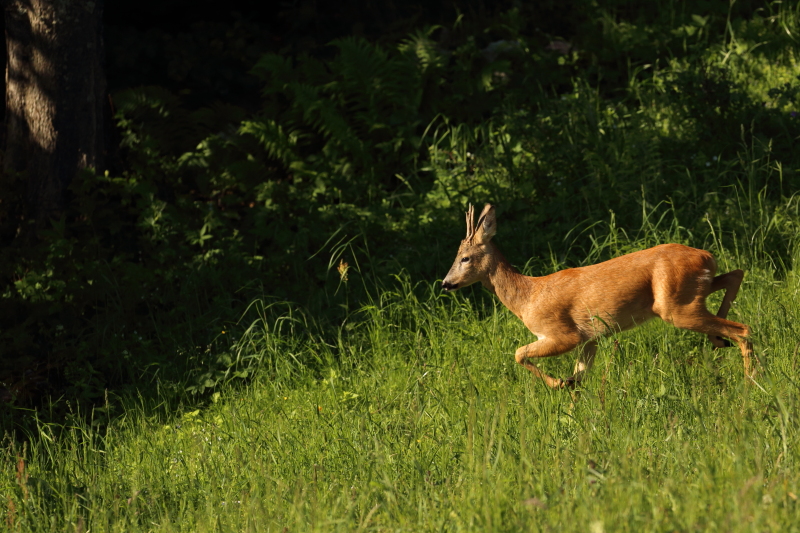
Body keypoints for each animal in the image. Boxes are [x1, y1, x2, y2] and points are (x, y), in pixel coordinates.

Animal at [440, 203, 752, 386]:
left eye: (465, 258)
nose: (445, 283)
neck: (526, 296)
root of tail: (706, 256)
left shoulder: (563, 334)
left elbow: (518, 354)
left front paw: (558, 384)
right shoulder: (589, 339)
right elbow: (580, 376)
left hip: (676, 306)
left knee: (743, 328)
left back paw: (750, 381)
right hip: (692, 291)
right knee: (735, 275)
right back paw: (719, 342)